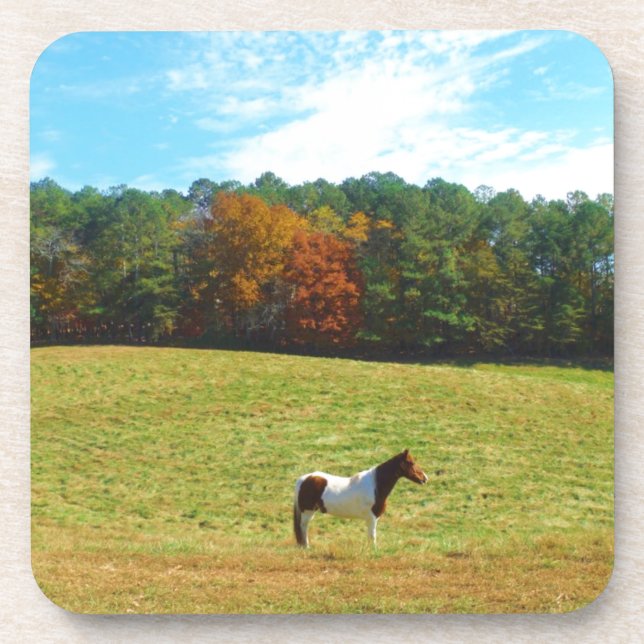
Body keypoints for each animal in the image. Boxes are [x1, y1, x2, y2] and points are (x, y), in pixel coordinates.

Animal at [293, 449, 428, 547]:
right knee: (303, 527)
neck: (375, 485)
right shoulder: (372, 518)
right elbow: (373, 536)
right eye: (411, 463)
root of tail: (304, 479)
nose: (425, 478)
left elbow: (370, 535)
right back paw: (306, 547)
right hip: (307, 512)